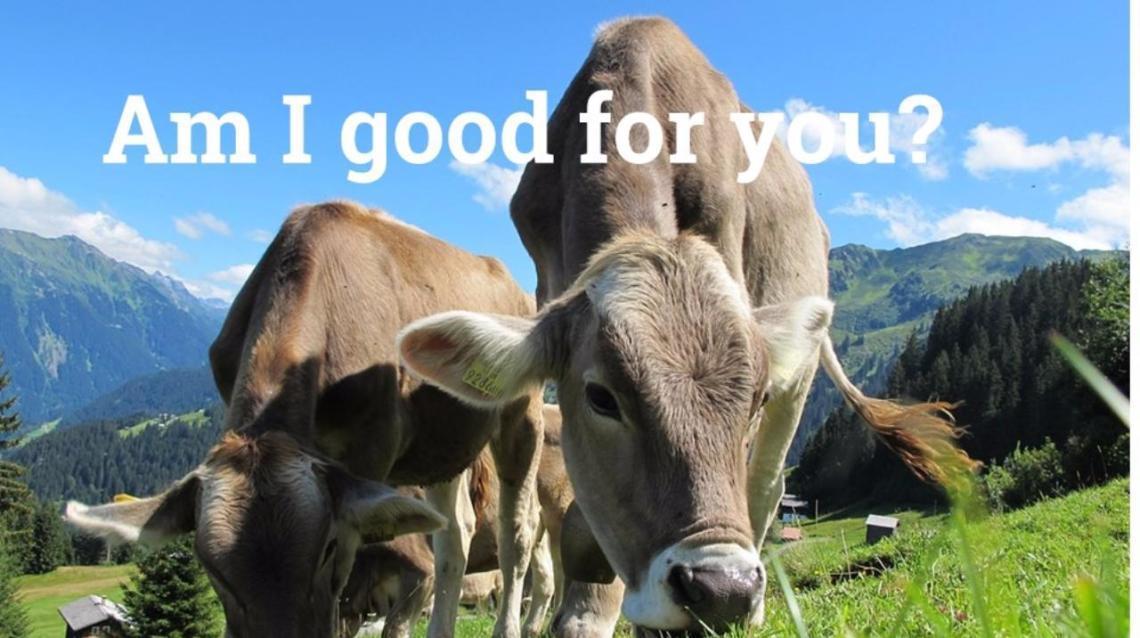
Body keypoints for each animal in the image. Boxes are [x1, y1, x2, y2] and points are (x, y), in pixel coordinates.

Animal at [65, 202, 547, 638]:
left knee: (516, 534)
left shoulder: (370, 452)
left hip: (523, 415)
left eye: (327, 547)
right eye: (212, 568)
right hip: (442, 446)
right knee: (455, 536)